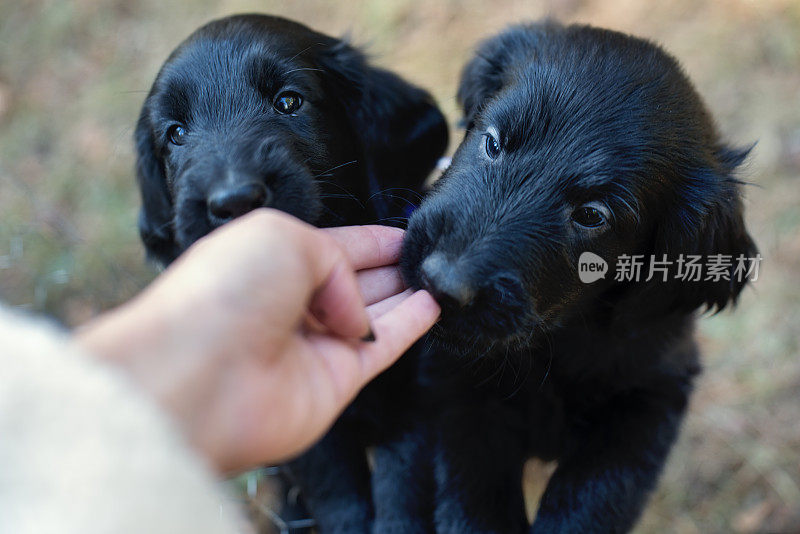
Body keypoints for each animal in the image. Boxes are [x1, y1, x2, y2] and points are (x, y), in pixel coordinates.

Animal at [400, 19, 756, 532]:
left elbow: (597, 488)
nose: (440, 282)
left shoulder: (654, 389)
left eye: (592, 215)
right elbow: (474, 485)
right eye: (492, 142)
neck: (554, 342)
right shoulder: (455, 383)